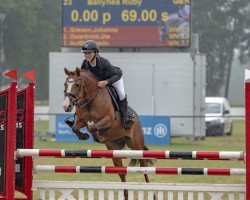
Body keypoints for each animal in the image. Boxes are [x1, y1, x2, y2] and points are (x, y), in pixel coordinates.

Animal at [62, 69, 154, 198]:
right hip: (114, 150)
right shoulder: (80, 120)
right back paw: (126, 194)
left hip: (136, 146)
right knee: (122, 173)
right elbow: (75, 127)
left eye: (77, 85)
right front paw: (84, 136)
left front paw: (96, 136)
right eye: (65, 84)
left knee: (144, 167)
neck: (91, 100)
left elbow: (93, 126)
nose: (67, 106)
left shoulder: (108, 120)